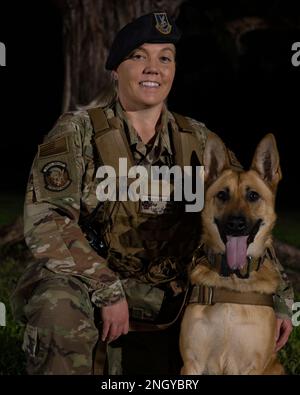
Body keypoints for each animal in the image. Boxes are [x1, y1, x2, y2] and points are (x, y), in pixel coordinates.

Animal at [179, 132, 284, 374]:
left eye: (253, 196)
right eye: (222, 195)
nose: (236, 224)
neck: (234, 277)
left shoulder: (252, 366)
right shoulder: (191, 363)